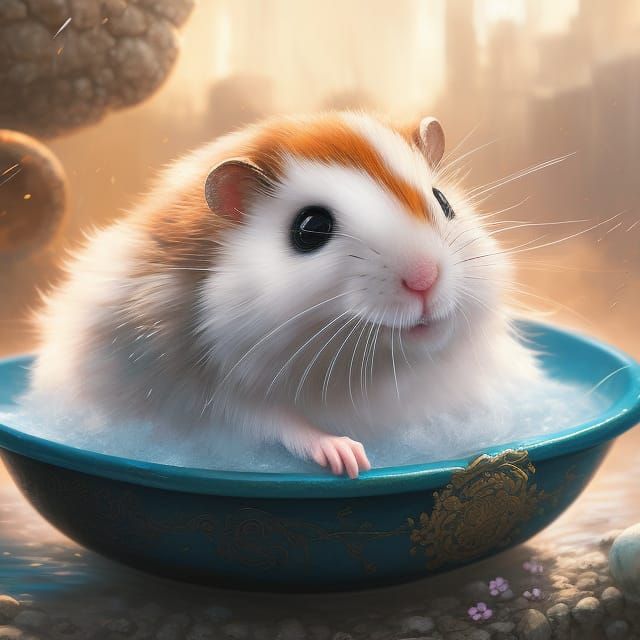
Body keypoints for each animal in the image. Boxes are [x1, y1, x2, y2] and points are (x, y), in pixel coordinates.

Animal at [29, 112, 539, 478]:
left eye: (444, 202)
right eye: (310, 229)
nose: (425, 280)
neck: (375, 368)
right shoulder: (217, 397)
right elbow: (274, 421)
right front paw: (349, 458)